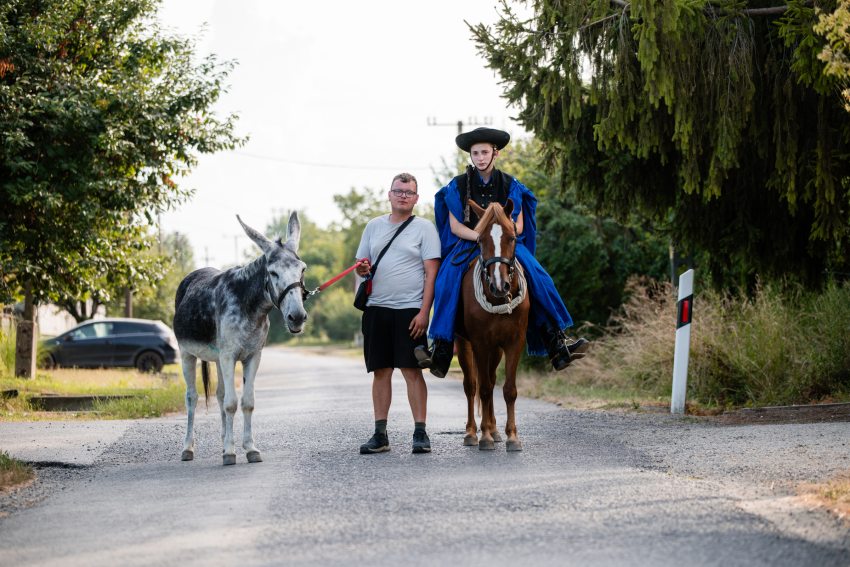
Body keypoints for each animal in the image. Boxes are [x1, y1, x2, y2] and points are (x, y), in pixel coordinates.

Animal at [171, 213, 306, 466]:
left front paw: (249, 448)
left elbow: (246, 402)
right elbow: (231, 403)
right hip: (187, 354)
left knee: (220, 395)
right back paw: (188, 449)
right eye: (273, 272)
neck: (249, 305)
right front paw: (230, 453)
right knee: (192, 397)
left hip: (216, 358)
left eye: (302, 270)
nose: (297, 317)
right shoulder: (229, 355)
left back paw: (224, 440)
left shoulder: (253, 356)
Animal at [454, 200, 528, 452]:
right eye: (479, 240)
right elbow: (483, 389)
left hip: (495, 349)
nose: (499, 285)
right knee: (471, 385)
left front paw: (512, 436)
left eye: (512, 238)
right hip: (465, 344)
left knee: (493, 379)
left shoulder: (514, 342)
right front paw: (484, 436)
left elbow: (509, 390)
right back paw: (471, 432)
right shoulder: (480, 343)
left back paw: (495, 429)